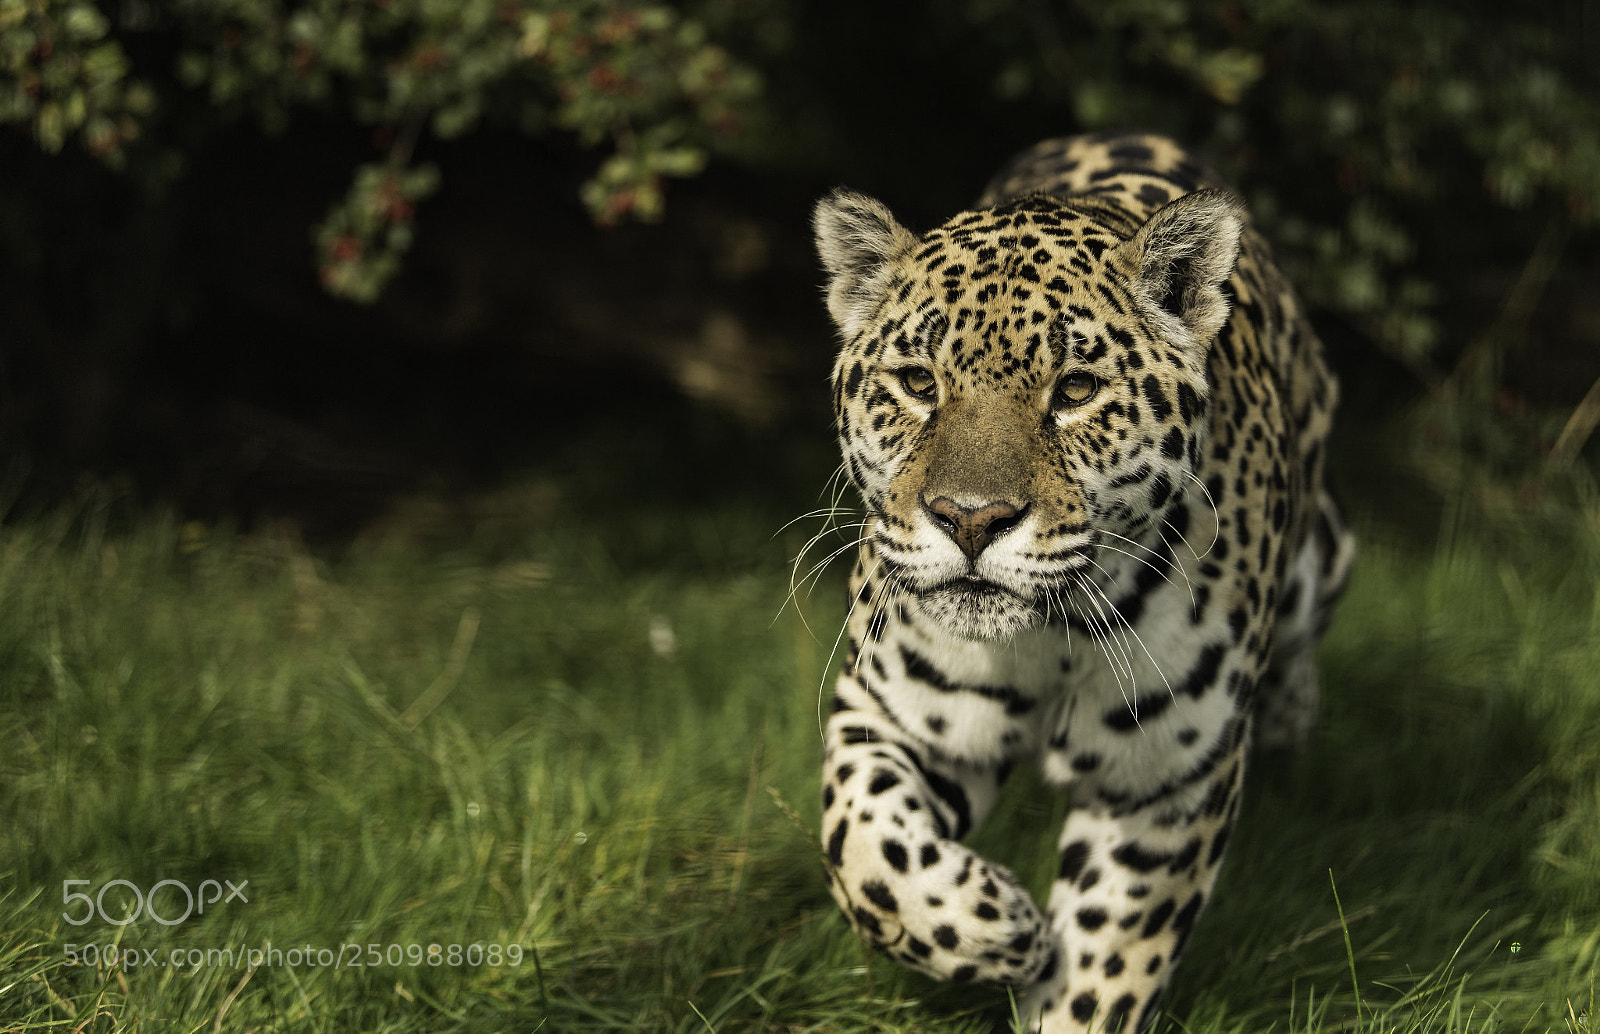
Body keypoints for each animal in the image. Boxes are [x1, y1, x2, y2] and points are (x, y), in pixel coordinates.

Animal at [808, 132, 1355, 1033]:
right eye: (919, 383)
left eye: (1075, 390)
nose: (970, 519)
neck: (1050, 636)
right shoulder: (889, 714)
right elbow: (868, 848)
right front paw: (998, 929)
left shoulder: (1164, 790)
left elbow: (1105, 973)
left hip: (1325, 549)